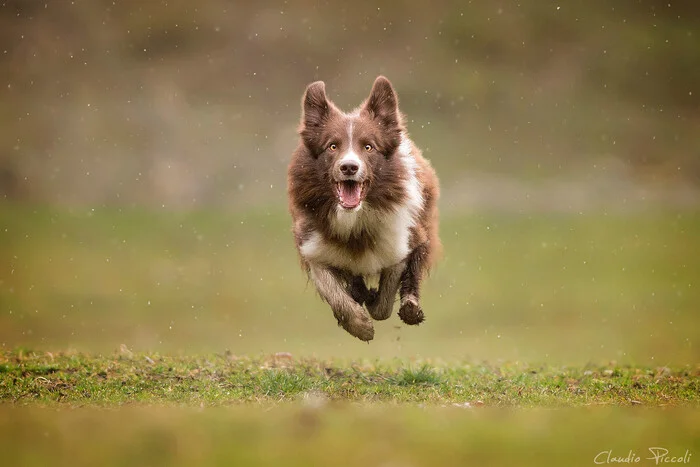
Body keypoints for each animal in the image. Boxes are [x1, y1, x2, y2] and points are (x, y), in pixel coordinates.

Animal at [286, 76, 440, 340]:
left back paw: (409, 306)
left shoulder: (401, 241)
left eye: (368, 147)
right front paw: (359, 325)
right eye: (332, 146)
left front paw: (374, 303)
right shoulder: (313, 245)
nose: (349, 167)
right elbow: (333, 291)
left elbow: (385, 302)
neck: (355, 220)